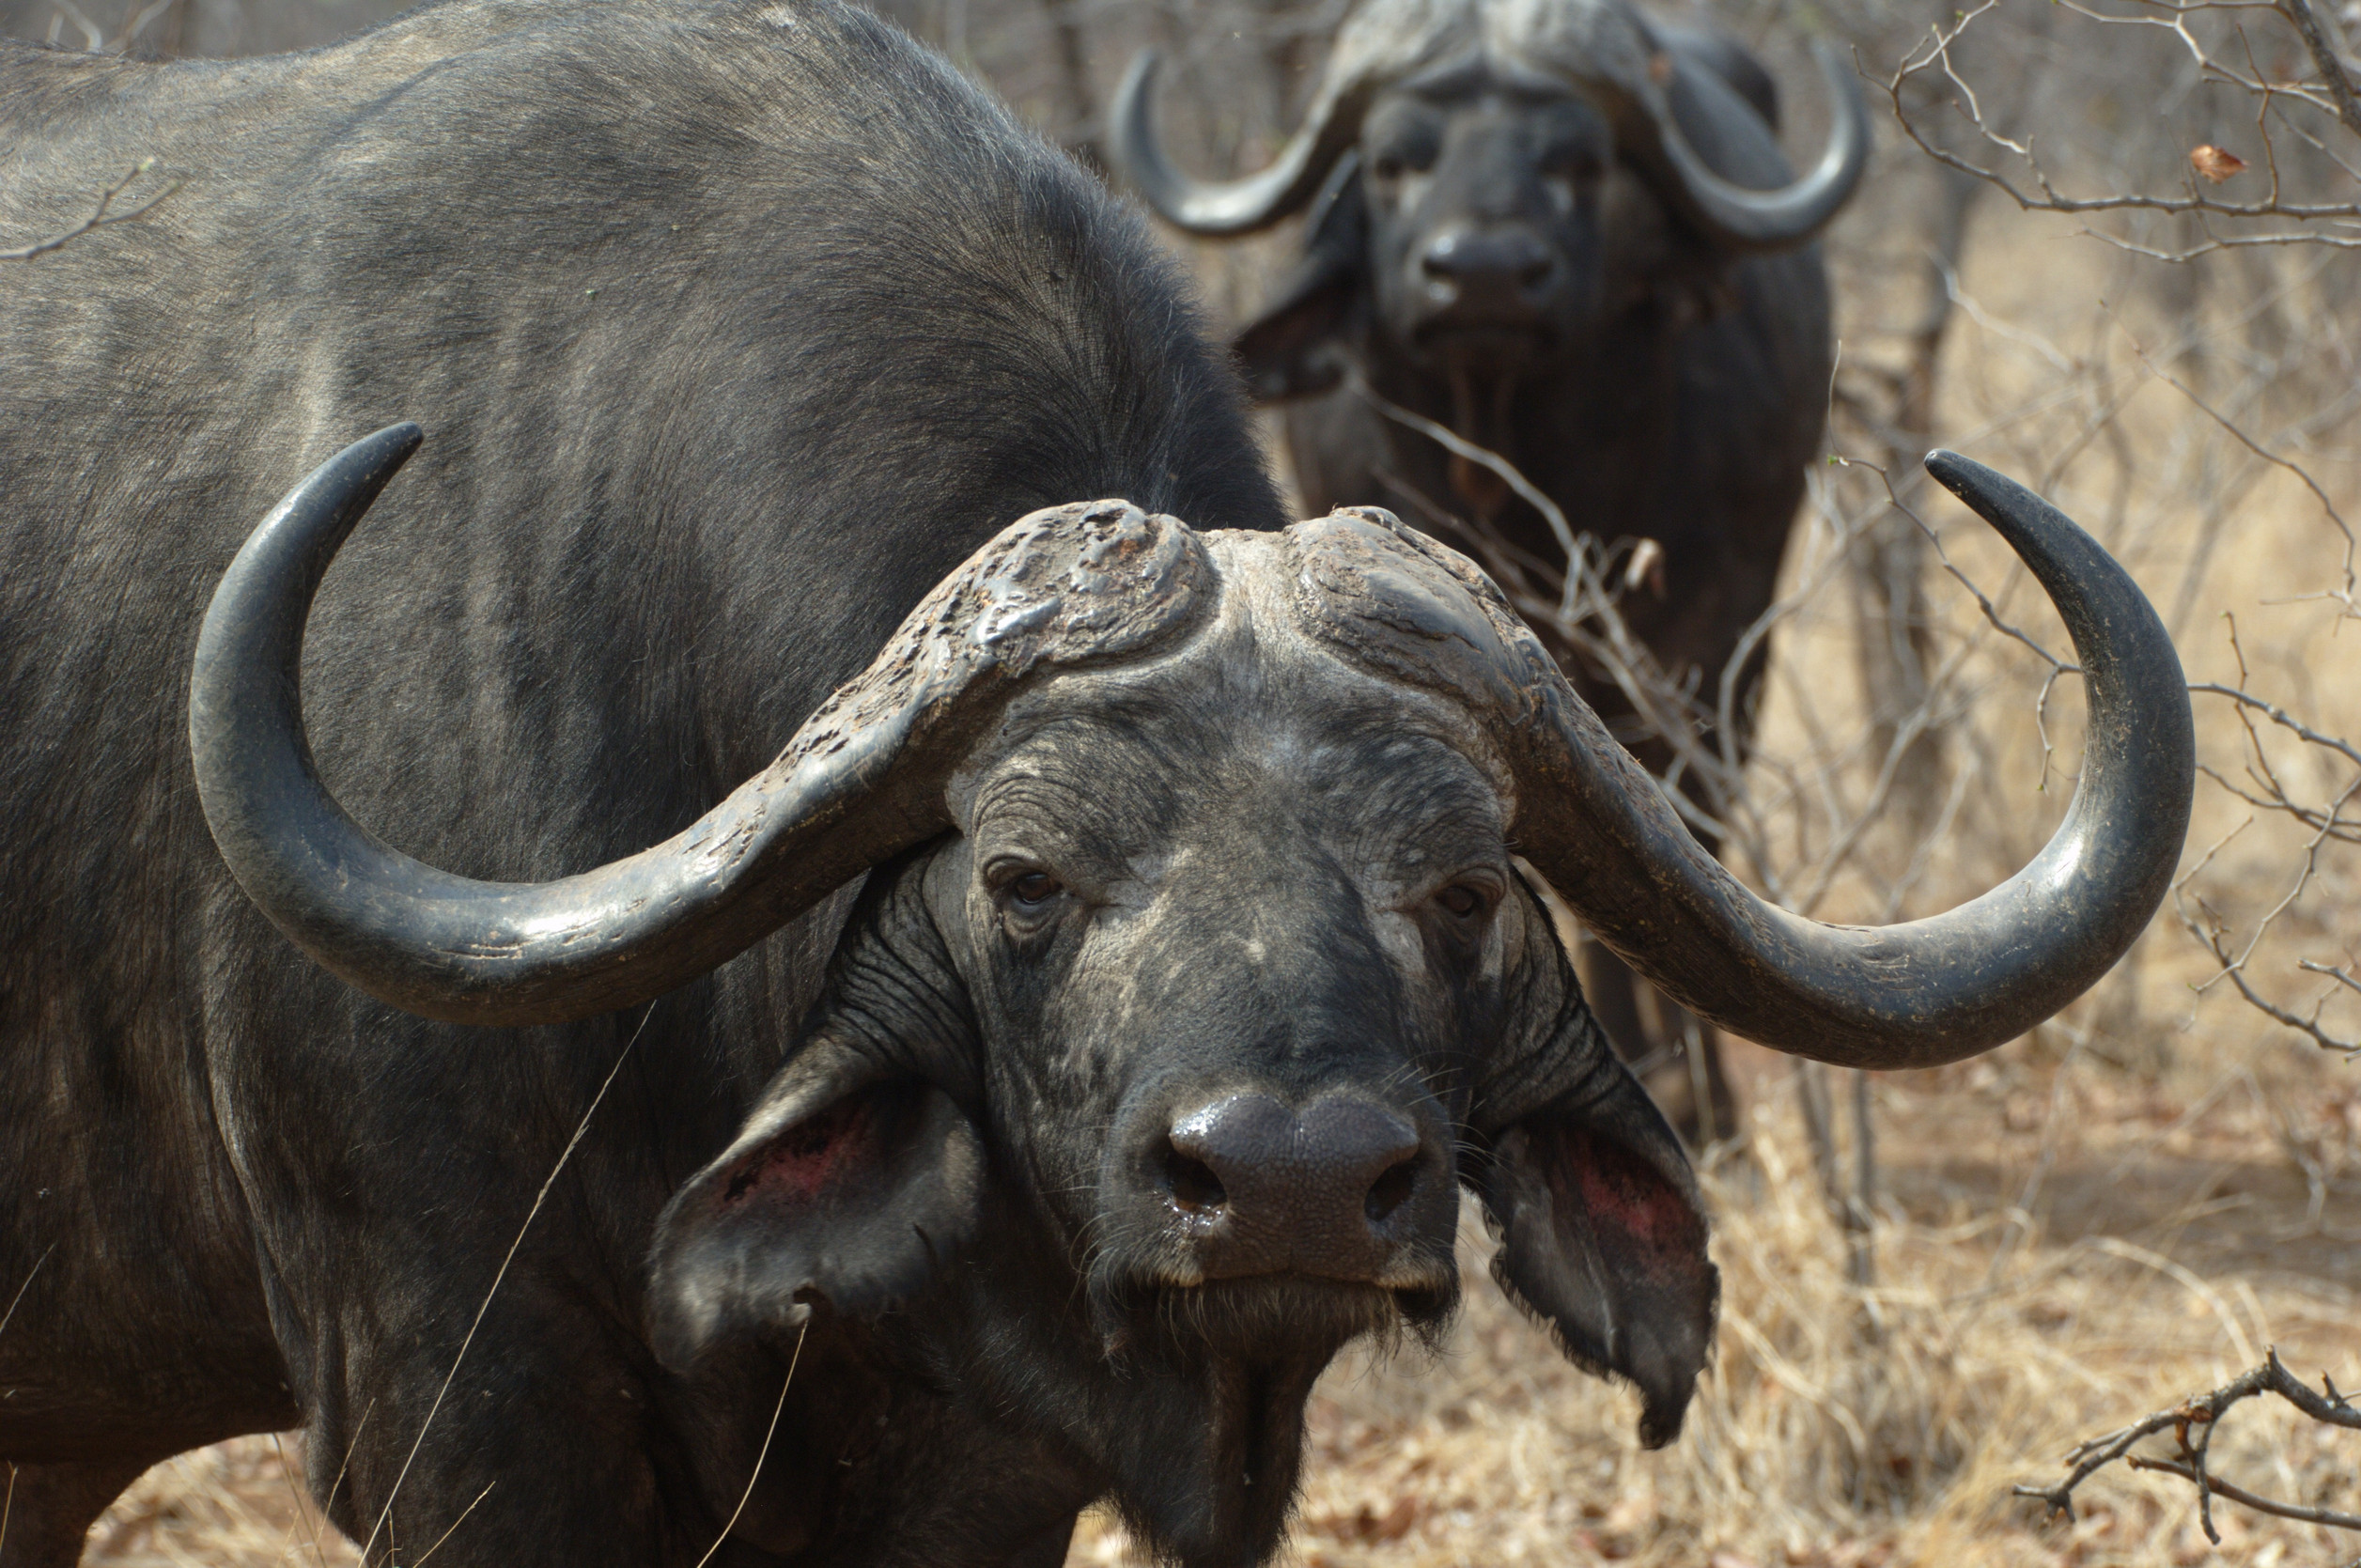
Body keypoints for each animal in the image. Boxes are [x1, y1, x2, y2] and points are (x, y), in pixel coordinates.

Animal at [1114, 0, 1870, 1133]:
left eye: (1578, 161)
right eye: (1394, 161)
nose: (1480, 272)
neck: (1516, 476)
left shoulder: (1707, 632)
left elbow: (1669, 853)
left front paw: (1694, 1098)